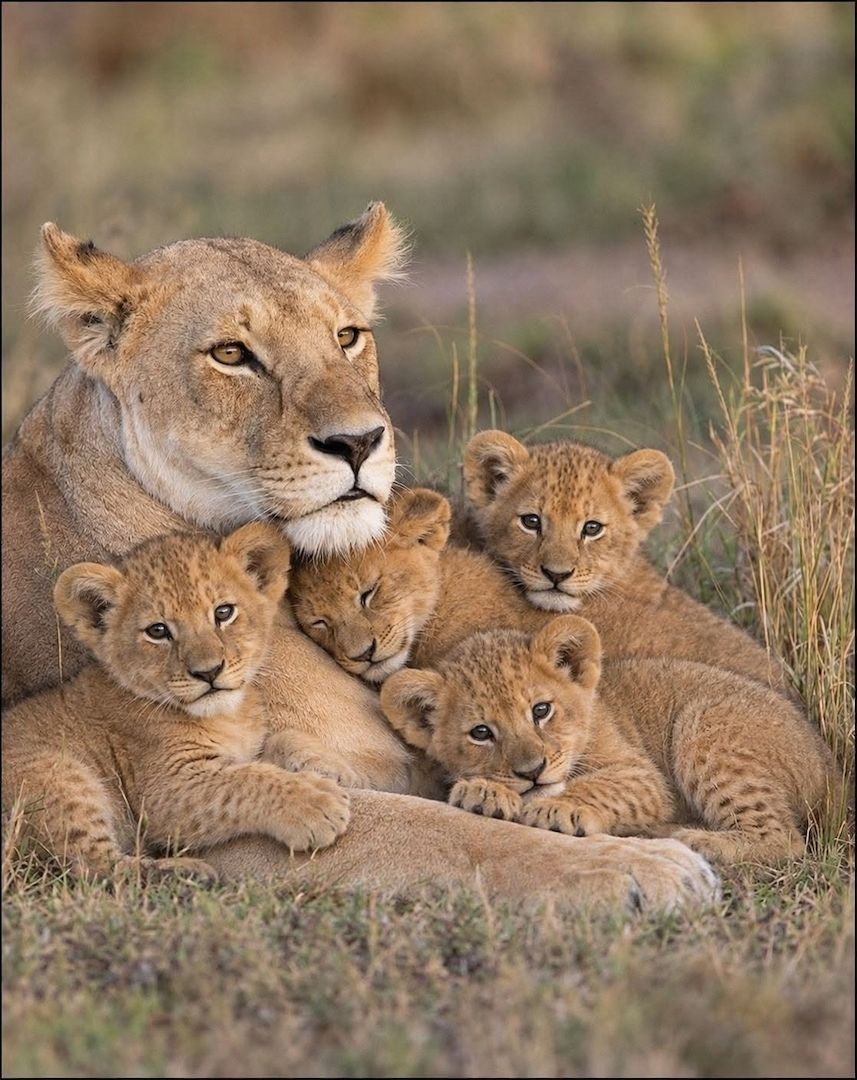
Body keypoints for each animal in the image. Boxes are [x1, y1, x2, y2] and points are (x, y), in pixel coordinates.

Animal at [3, 524, 352, 878]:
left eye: (223, 612)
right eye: (158, 631)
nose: (208, 672)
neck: (229, 716)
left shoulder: (243, 748)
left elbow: (277, 743)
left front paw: (332, 766)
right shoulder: (164, 790)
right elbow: (245, 781)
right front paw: (315, 803)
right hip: (55, 773)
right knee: (96, 867)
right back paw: (189, 874)